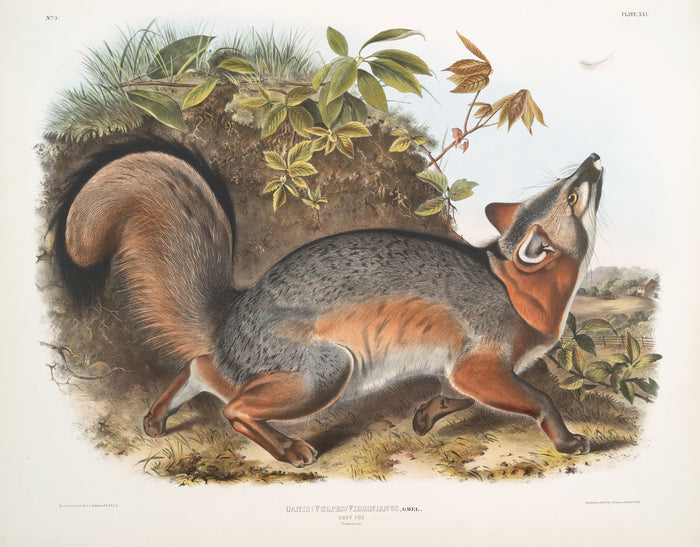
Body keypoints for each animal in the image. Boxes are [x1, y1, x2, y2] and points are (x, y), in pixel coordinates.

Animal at [53, 139, 603, 467]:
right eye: (571, 195)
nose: (593, 159)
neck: (516, 288)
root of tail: (233, 312)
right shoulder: (480, 363)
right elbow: (540, 398)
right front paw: (566, 440)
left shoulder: (463, 367)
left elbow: (458, 395)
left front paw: (426, 417)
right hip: (327, 372)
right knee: (233, 406)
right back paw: (289, 449)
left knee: (201, 367)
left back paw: (157, 417)